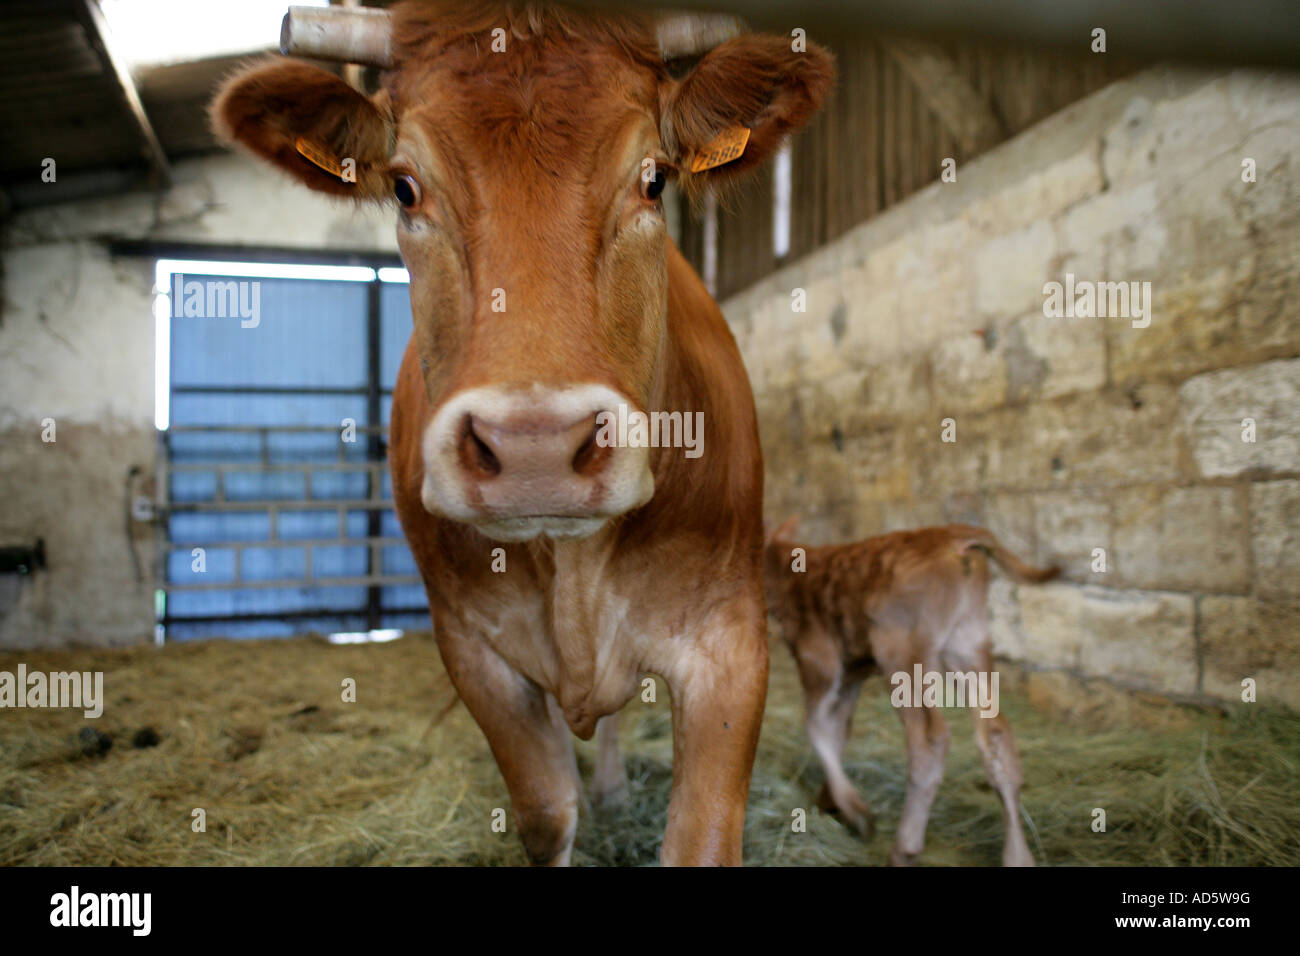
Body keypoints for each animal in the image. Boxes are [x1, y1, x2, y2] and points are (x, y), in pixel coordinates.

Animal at [212, 2, 833, 865]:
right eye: (403, 187)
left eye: (654, 179)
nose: (535, 447)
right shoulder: (472, 648)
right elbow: (545, 813)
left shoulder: (731, 640)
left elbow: (701, 837)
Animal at [763, 517, 1058, 866]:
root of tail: (956, 534)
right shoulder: (852, 671)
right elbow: (839, 729)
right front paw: (829, 801)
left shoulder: (818, 660)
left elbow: (816, 726)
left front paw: (855, 811)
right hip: (968, 642)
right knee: (997, 735)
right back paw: (1018, 856)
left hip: (901, 649)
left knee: (929, 737)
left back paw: (904, 847)